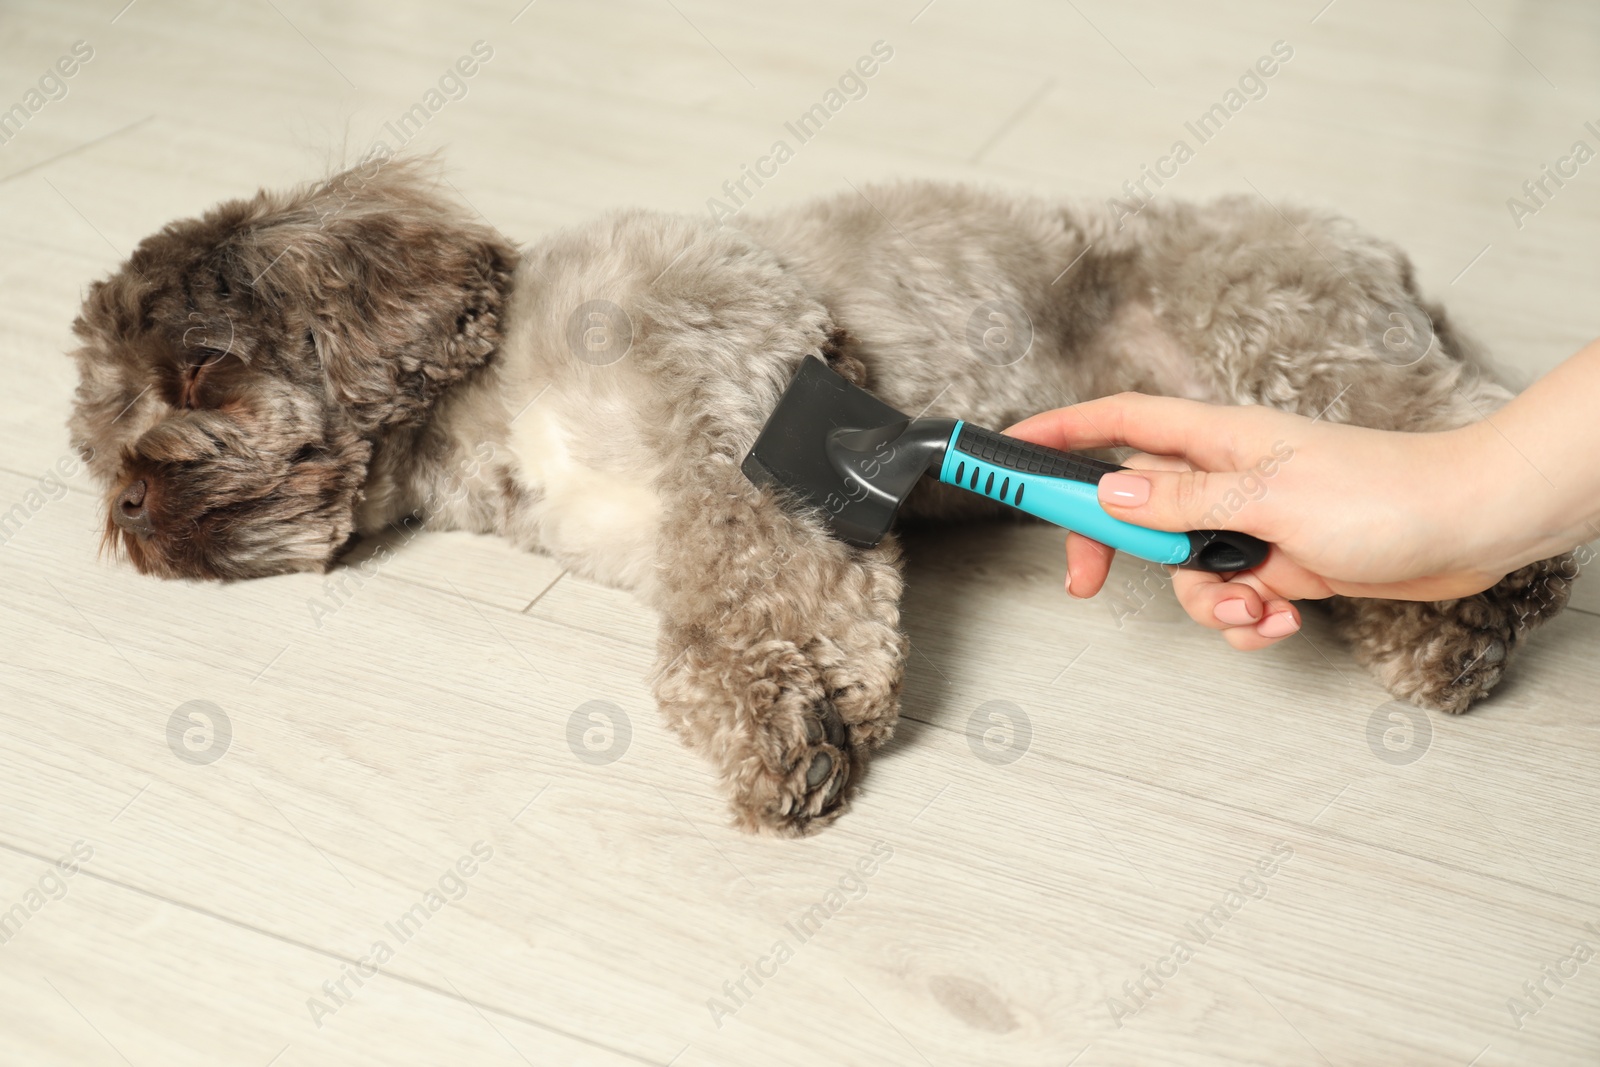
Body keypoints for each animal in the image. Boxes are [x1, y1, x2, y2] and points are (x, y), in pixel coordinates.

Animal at [72, 163, 1574, 838]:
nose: (132, 504)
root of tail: (1378, 252)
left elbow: (753, 583)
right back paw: (1442, 626)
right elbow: (715, 613)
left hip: (1295, 352)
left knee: (1452, 431)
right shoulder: (655, 522)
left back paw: (1487, 601)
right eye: (96, 437)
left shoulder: (734, 367)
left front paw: (789, 717)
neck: (488, 399)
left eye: (199, 372)